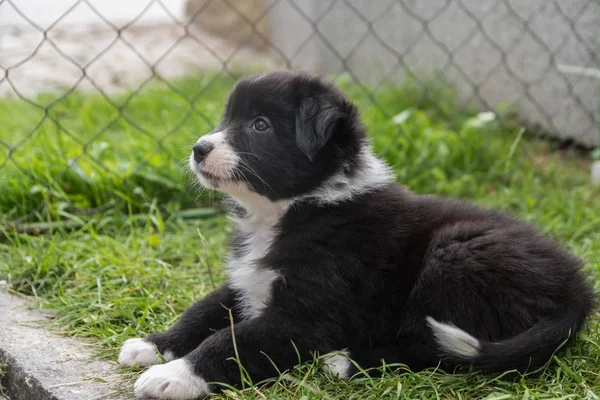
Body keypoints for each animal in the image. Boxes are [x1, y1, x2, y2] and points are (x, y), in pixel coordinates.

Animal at [118, 70, 596, 398]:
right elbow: (202, 310)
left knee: (436, 353)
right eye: (226, 118)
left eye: (260, 125)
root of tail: (578, 288)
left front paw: (173, 376)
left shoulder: (305, 317)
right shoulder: (248, 282)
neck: (292, 210)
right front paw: (154, 345)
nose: (199, 148)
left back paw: (346, 363)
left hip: (455, 255)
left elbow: (232, 340)